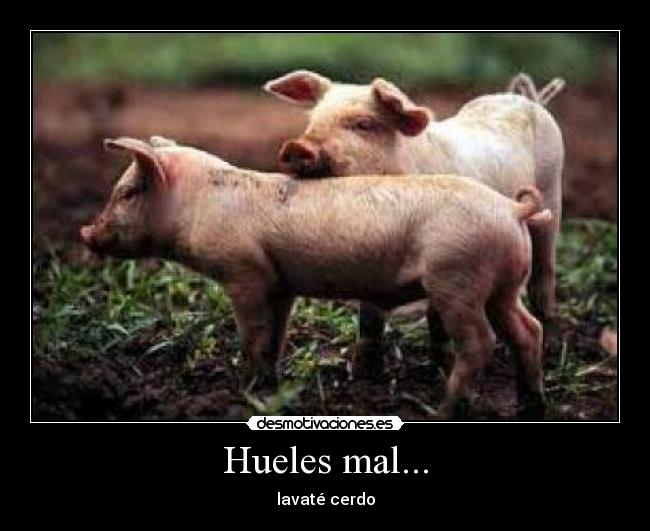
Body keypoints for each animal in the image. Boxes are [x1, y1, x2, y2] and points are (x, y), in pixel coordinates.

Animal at [80, 136, 551, 419]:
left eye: (128, 192)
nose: (85, 232)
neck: (196, 205)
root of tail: (513, 208)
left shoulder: (244, 273)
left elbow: (253, 333)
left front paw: (243, 389)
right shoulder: (279, 283)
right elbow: (276, 335)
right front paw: (270, 384)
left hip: (456, 280)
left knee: (481, 341)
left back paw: (439, 409)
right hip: (503, 287)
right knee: (528, 330)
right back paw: (530, 405)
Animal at [264, 71, 565, 365]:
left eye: (363, 124)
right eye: (313, 121)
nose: (297, 147)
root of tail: (527, 99)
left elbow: (436, 315)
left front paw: (442, 362)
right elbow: (369, 316)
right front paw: (362, 364)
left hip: (551, 192)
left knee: (544, 270)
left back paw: (549, 343)